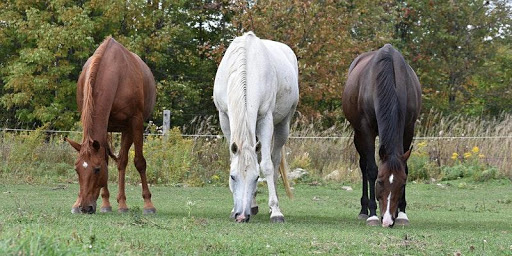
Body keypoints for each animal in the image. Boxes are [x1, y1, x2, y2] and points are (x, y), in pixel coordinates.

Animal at [65, 36, 156, 214]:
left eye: (97, 169)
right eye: (76, 169)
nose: (85, 207)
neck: (115, 73)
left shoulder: (135, 122)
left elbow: (139, 162)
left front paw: (148, 204)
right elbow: (106, 158)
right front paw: (103, 203)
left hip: (127, 129)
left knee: (122, 162)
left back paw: (123, 203)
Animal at [213, 32, 300, 223]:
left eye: (256, 178)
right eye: (233, 177)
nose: (241, 216)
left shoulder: (265, 119)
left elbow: (266, 165)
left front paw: (276, 212)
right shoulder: (224, 117)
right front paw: (234, 208)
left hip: (283, 125)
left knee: (274, 160)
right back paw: (252, 206)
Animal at [342, 45, 422, 227]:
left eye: (402, 184)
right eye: (379, 181)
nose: (387, 219)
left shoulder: (408, 128)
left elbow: (405, 167)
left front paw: (402, 214)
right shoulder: (366, 130)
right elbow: (371, 169)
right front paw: (372, 214)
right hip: (358, 134)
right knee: (364, 165)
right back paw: (364, 210)